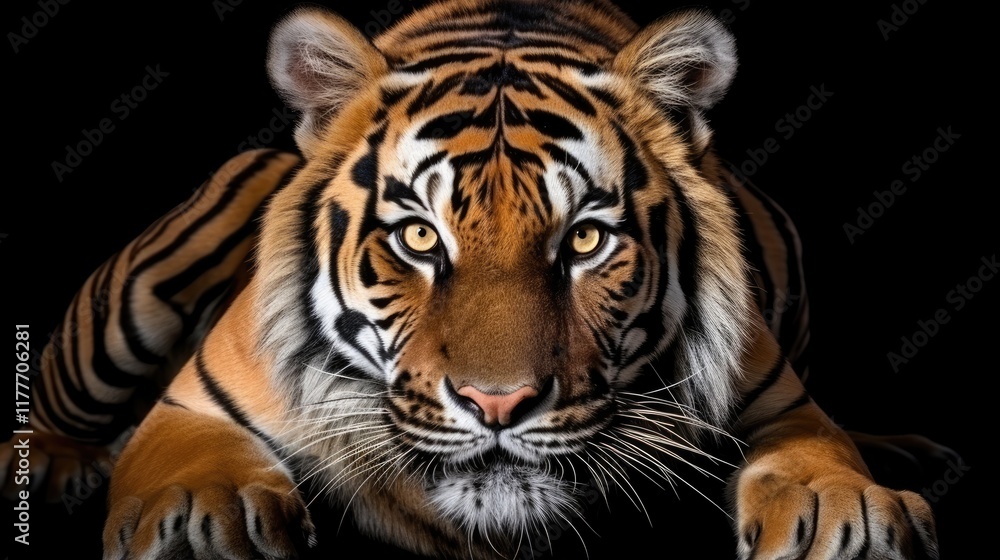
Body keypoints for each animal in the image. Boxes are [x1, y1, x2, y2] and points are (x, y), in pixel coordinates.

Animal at [3, 0, 942, 558]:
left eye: (585, 240)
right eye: (420, 236)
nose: (499, 405)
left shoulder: (782, 404)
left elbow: (819, 452)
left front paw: (845, 511)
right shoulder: (194, 404)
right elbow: (193, 459)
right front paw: (206, 515)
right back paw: (50, 462)